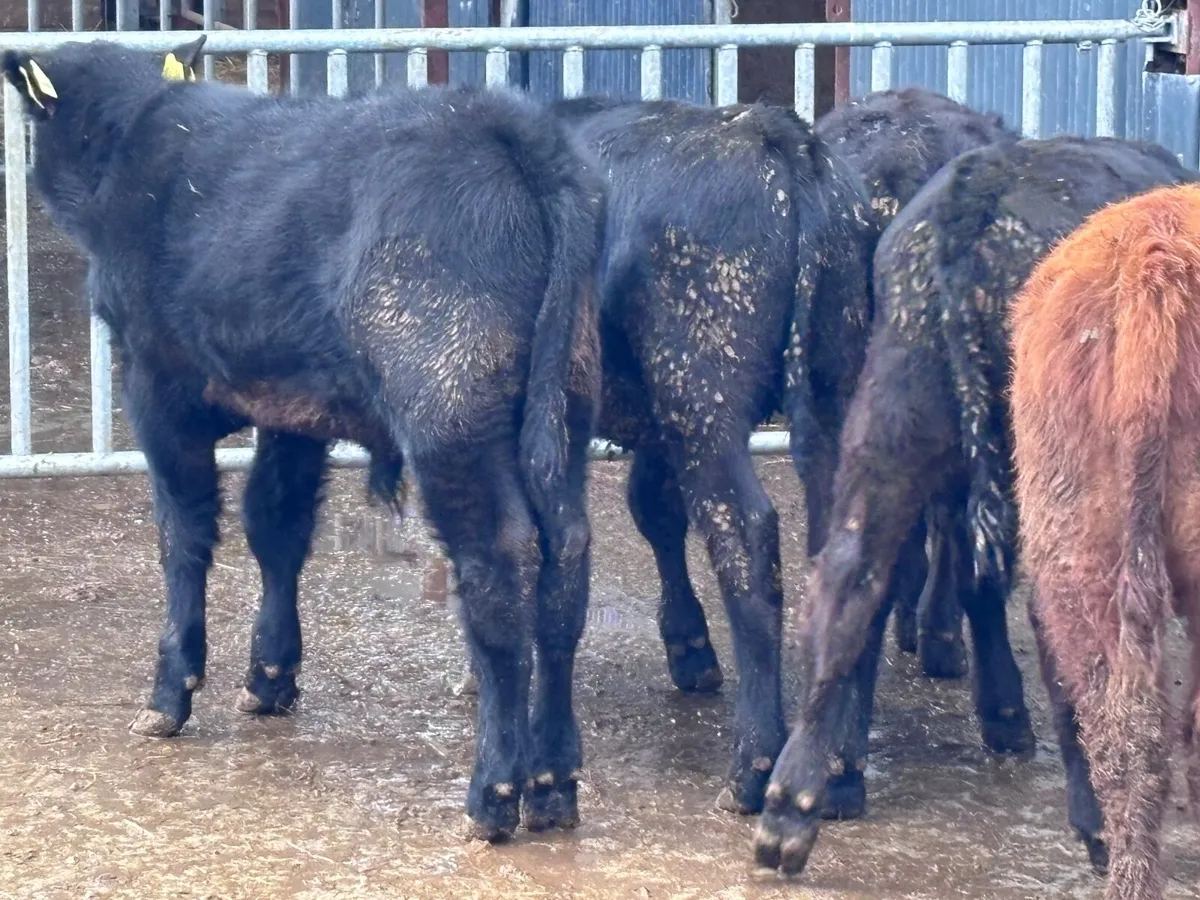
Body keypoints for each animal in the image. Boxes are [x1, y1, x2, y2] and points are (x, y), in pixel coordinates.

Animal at [2, 36, 605, 842]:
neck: (143, 136)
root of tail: (510, 129)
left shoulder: (154, 381)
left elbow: (183, 533)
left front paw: (170, 692)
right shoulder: (290, 406)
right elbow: (276, 525)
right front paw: (270, 676)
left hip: (449, 412)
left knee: (500, 567)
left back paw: (494, 793)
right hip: (565, 412)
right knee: (566, 563)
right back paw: (554, 783)